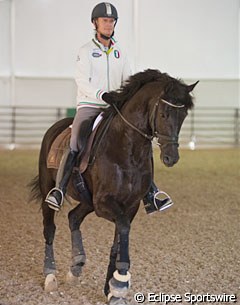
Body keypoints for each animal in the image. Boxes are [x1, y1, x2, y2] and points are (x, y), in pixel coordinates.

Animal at [30, 69, 198, 304]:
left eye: (183, 116)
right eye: (164, 113)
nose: (171, 158)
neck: (127, 149)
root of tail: (56, 126)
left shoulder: (130, 206)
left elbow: (118, 240)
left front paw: (111, 289)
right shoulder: (105, 203)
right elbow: (123, 229)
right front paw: (120, 281)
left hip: (87, 201)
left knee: (73, 218)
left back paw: (76, 266)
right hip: (51, 190)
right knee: (49, 229)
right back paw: (50, 277)